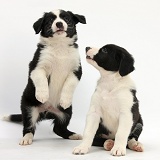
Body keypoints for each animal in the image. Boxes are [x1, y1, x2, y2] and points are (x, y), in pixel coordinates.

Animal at [3, 9, 86, 146]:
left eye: (67, 19)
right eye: (50, 21)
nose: (59, 24)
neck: (59, 46)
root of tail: (47, 111)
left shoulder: (76, 71)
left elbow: (70, 84)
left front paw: (65, 100)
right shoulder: (37, 67)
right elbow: (41, 80)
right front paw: (42, 95)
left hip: (66, 112)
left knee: (59, 129)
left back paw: (73, 135)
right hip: (29, 108)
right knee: (29, 127)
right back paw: (26, 138)